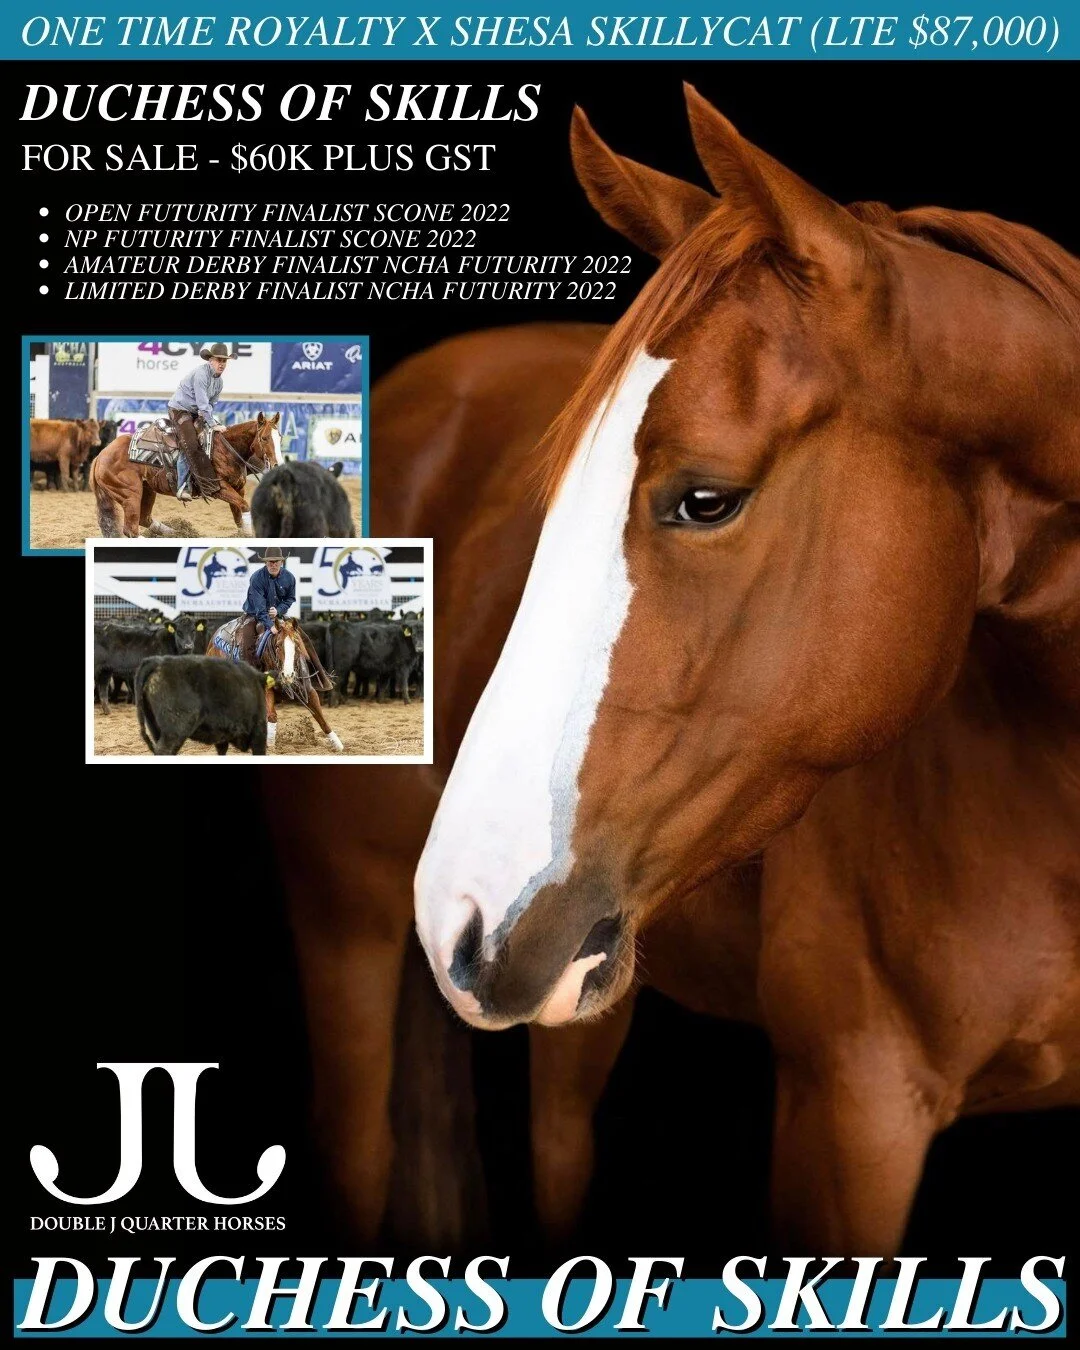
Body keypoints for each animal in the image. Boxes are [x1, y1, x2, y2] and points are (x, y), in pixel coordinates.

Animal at [89, 412, 281, 538]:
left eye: (279, 436)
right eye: (264, 438)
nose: (276, 465)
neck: (225, 449)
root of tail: (101, 456)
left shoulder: (238, 488)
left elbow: (239, 515)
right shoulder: (217, 488)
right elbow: (244, 506)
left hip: (147, 490)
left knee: (144, 519)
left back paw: (175, 532)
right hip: (130, 494)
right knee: (131, 530)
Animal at [209, 614, 344, 753]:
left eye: (297, 645)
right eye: (278, 645)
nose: (288, 674)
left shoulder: (309, 691)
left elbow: (320, 717)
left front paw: (337, 744)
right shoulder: (265, 690)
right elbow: (272, 716)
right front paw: (270, 744)